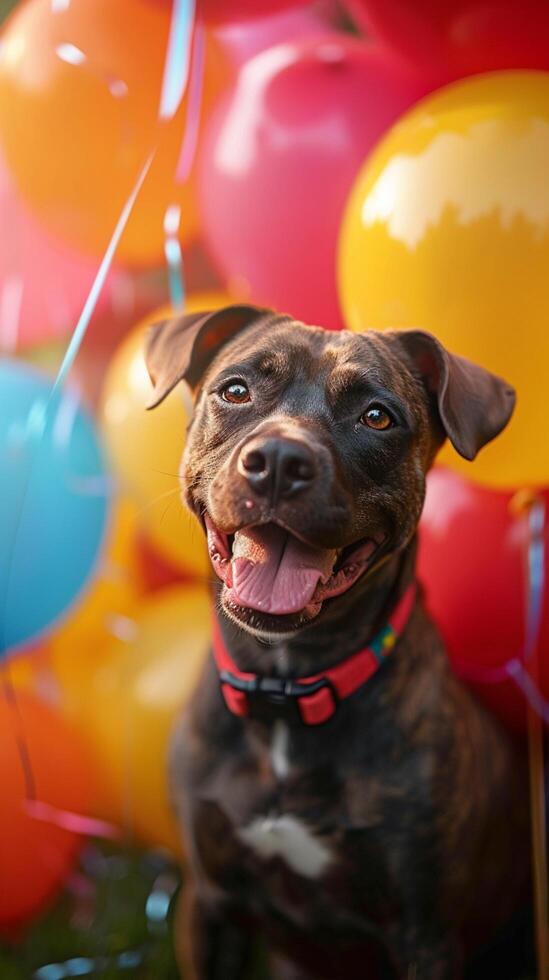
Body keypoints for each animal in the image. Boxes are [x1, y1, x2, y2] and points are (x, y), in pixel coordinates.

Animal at [143, 306, 528, 980]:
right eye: (235, 390)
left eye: (377, 416)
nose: (277, 459)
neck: (284, 693)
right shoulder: (208, 900)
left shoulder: (425, 934)